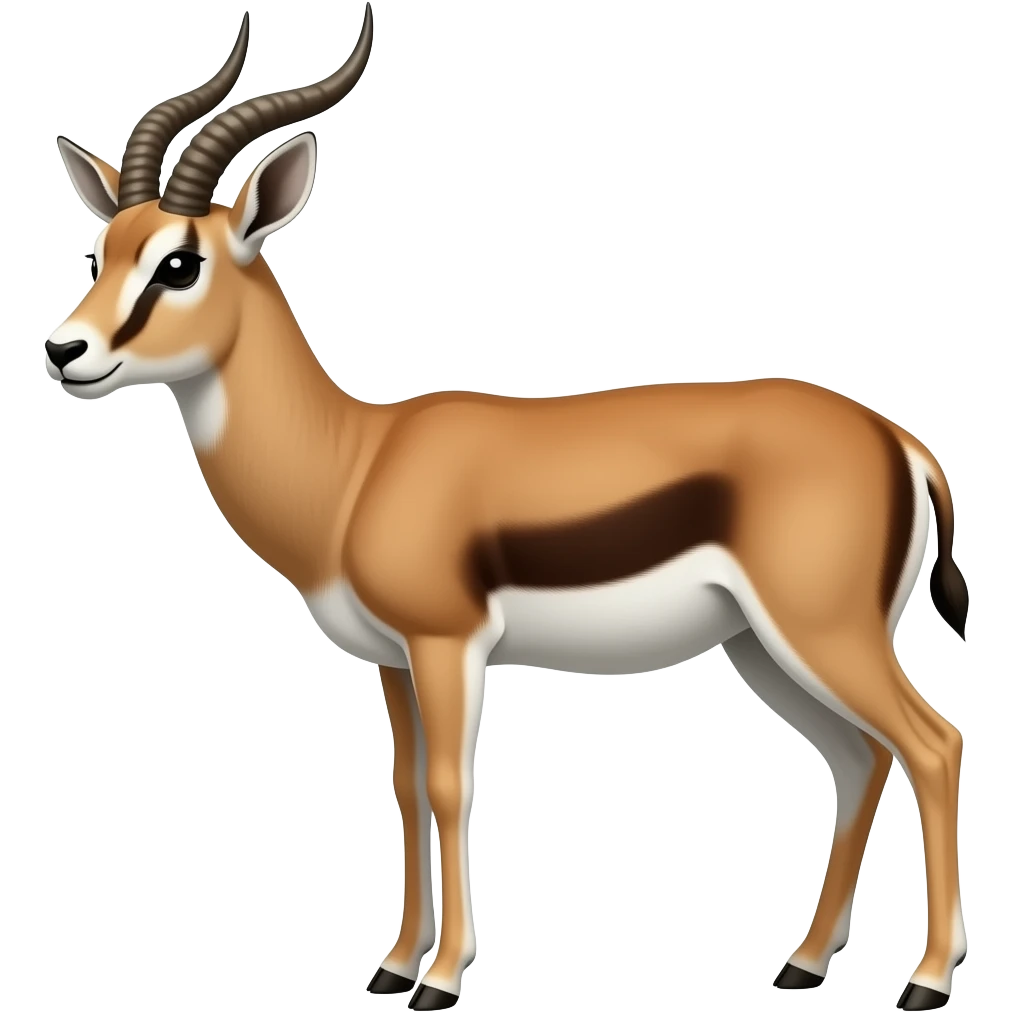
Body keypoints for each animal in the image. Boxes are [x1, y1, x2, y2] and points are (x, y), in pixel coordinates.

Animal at [44, 7, 971, 1012]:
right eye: (103, 251)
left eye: (179, 263)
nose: (64, 350)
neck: (356, 464)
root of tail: (896, 438)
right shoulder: (393, 658)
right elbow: (406, 786)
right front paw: (393, 964)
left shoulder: (447, 643)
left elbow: (454, 785)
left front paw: (442, 980)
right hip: (763, 646)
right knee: (859, 759)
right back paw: (803, 964)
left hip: (824, 630)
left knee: (932, 744)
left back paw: (925, 981)